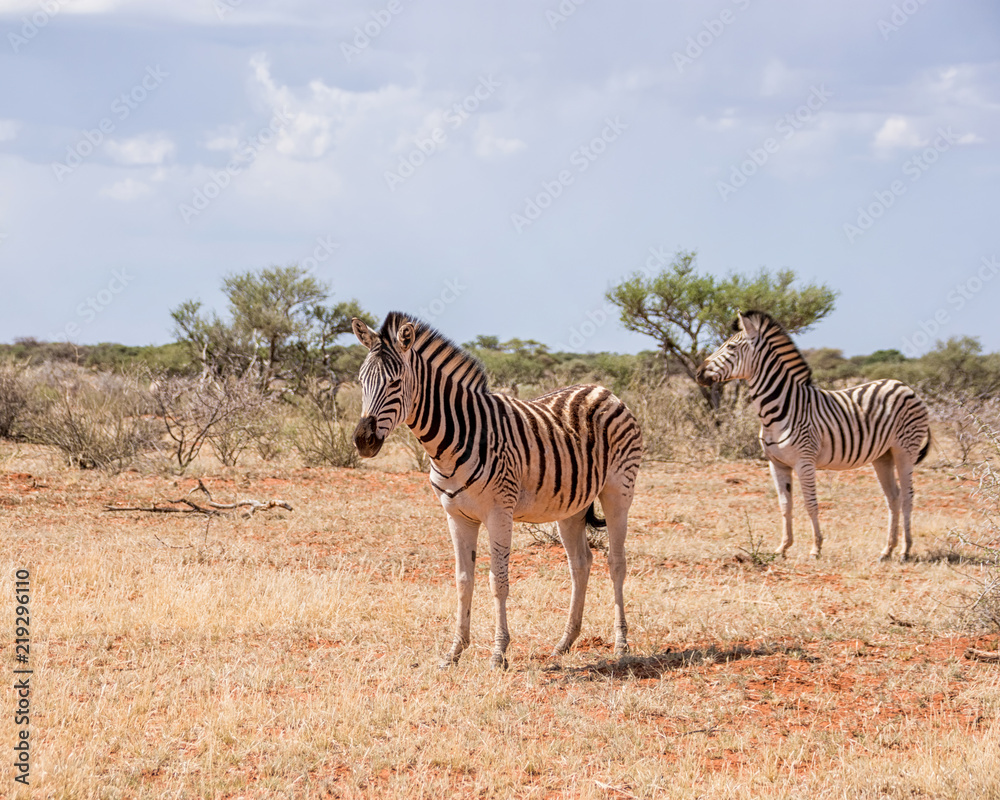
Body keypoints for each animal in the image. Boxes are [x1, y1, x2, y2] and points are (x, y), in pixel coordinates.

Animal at [351, 312, 643, 668]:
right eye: (361, 382)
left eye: (395, 383)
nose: (362, 441)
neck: (452, 440)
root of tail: (602, 390)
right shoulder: (456, 516)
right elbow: (463, 580)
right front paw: (455, 651)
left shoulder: (499, 513)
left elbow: (497, 581)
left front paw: (498, 653)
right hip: (572, 505)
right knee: (580, 563)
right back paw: (564, 643)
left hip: (619, 490)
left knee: (616, 562)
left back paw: (621, 644)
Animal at [695, 310, 931, 561]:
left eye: (730, 347)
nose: (699, 373)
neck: (781, 408)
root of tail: (904, 385)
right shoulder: (776, 464)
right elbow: (785, 504)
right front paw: (783, 547)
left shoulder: (804, 461)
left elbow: (810, 504)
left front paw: (816, 548)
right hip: (882, 455)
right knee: (893, 497)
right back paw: (887, 550)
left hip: (905, 449)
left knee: (907, 497)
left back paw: (905, 550)